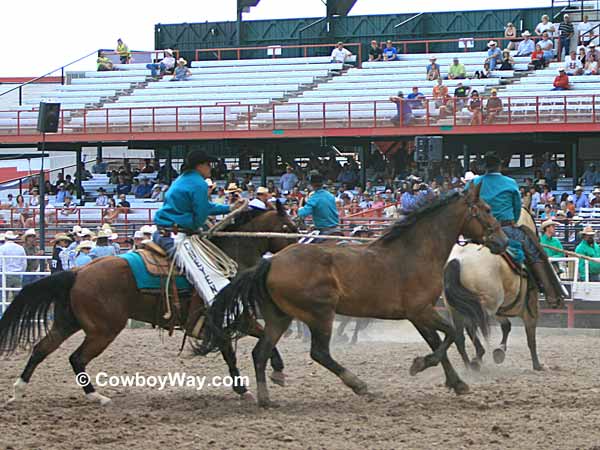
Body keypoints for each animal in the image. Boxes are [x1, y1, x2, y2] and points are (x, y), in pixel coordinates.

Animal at [0, 206, 296, 406]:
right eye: (286, 228)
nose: (294, 254)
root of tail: (78, 272)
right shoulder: (226, 318)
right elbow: (246, 345)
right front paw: (260, 381)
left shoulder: (230, 318)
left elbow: (249, 343)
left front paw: (259, 379)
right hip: (103, 330)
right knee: (76, 358)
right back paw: (98, 396)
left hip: (68, 322)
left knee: (41, 349)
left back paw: (18, 391)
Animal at [200, 183, 506, 408]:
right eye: (487, 209)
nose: (502, 242)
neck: (415, 252)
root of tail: (270, 262)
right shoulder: (421, 311)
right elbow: (451, 334)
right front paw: (420, 365)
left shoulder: (419, 315)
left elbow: (438, 341)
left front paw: (457, 383)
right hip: (320, 314)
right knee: (319, 352)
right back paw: (360, 385)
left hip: (280, 317)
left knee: (260, 352)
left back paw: (265, 399)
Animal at [442, 207, 560, 370]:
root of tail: (457, 261)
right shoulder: (529, 308)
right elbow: (530, 336)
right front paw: (537, 364)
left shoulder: (500, 308)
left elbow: (506, 326)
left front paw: (499, 351)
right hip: (483, 304)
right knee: (471, 325)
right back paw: (478, 356)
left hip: (455, 306)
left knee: (460, 335)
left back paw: (470, 363)